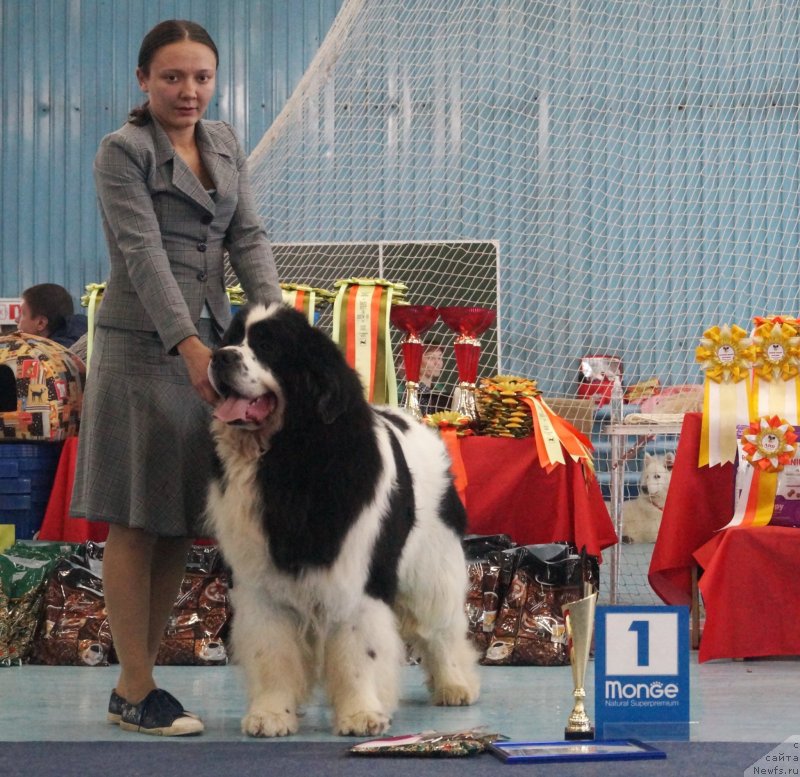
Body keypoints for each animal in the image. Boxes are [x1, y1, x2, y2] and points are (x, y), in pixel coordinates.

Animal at [208, 302, 482, 732]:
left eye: (268, 346)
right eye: (231, 339)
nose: (220, 357)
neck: (288, 458)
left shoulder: (357, 580)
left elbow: (358, 651)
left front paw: (361, 713)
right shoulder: (261, 584)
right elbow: (271, 650)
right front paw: (272, 713)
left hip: (432, 569)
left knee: (440, 629)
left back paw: (454, 685)